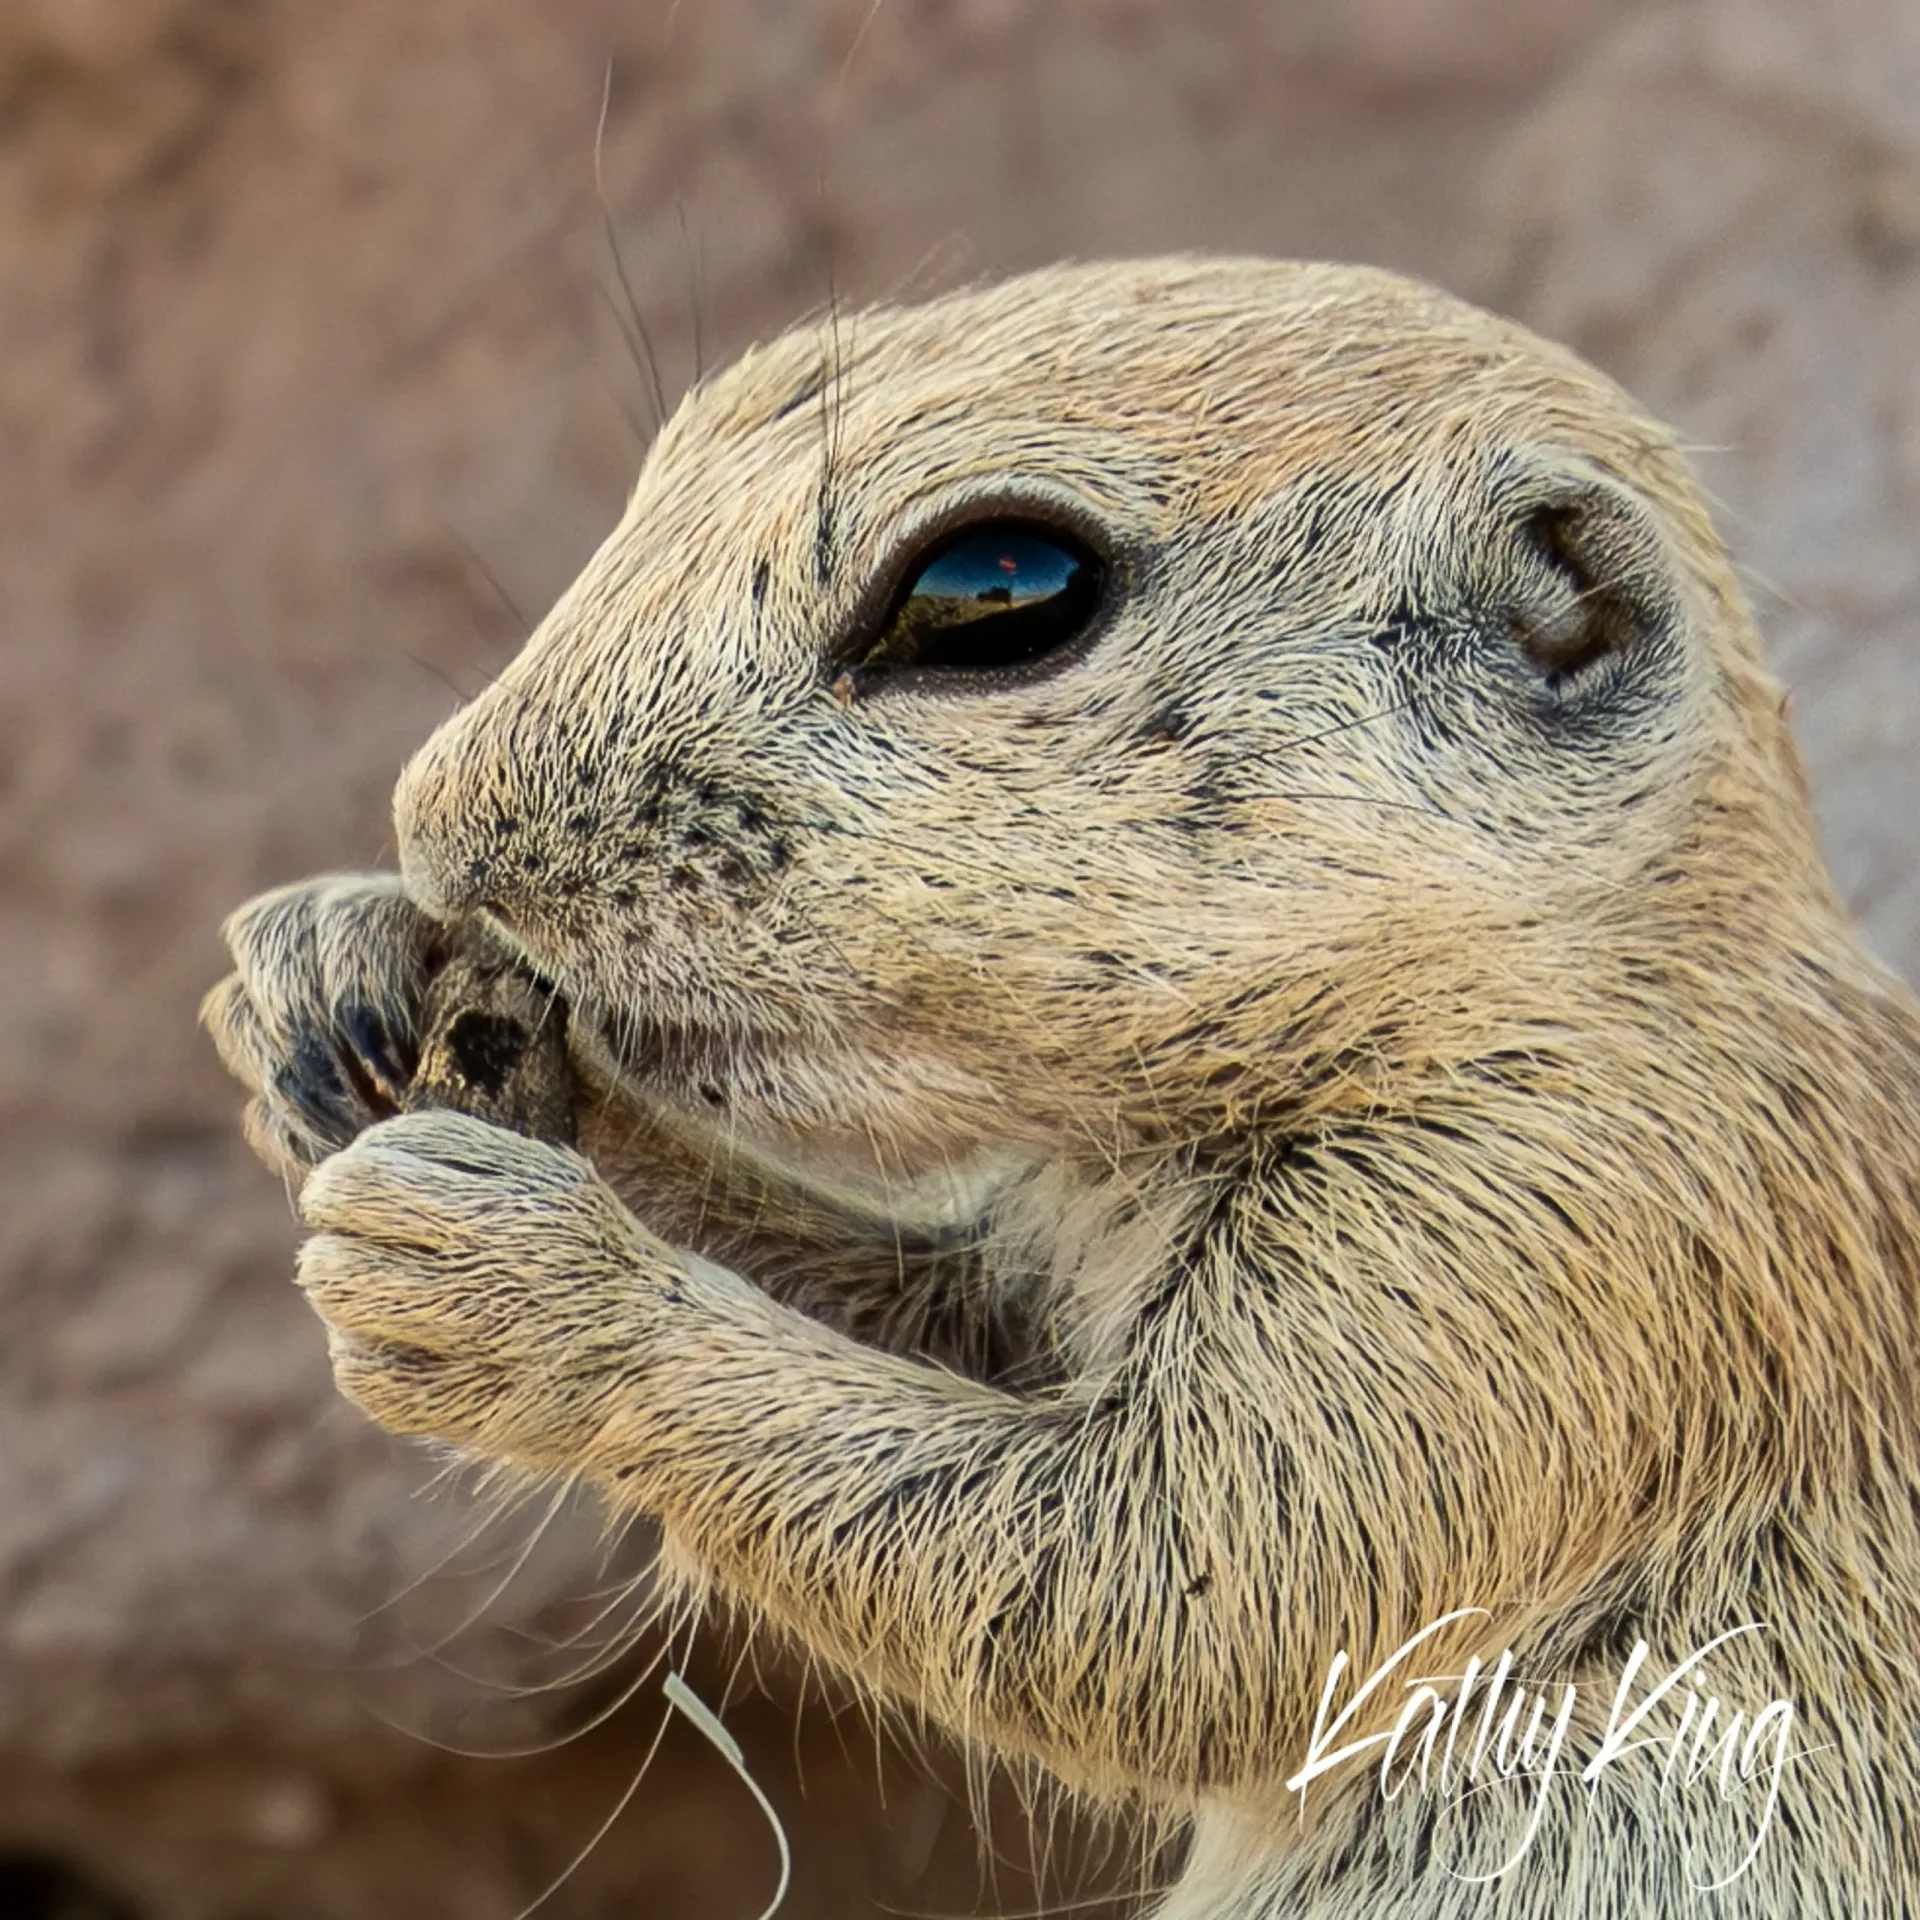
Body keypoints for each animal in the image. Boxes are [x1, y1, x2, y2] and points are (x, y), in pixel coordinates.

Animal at [203, 257, 1920, 1917]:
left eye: (997, 590)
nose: (440, 831)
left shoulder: (1541, 1237)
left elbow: (1162, 1585)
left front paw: (507, 1279)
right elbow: (947, 1333)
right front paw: (330, 974)